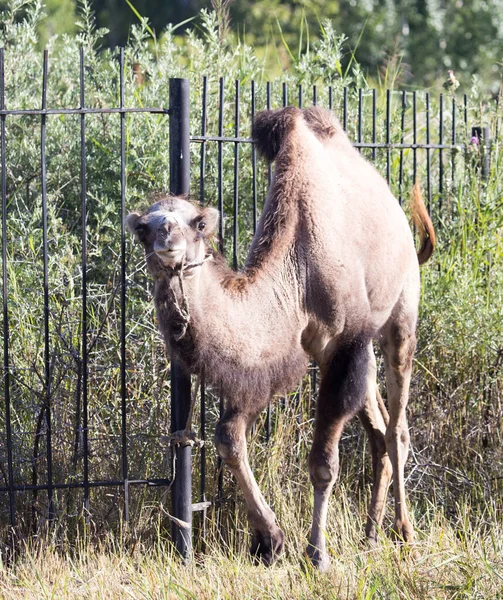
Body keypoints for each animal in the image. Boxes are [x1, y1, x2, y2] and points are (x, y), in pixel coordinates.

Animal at [127, 105, 438, 568]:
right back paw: (369, 535)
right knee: (379, 430)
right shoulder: (268, 362)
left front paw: (316, 553)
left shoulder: (345, 342)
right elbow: (228, 439)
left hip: (400, 316)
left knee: (396, 428)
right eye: (143, 227)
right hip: (357, 352)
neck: (297, 273)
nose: (166, 236)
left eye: (198, 223)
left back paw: (404, 533)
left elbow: (323, 462)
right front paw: (269, 540)